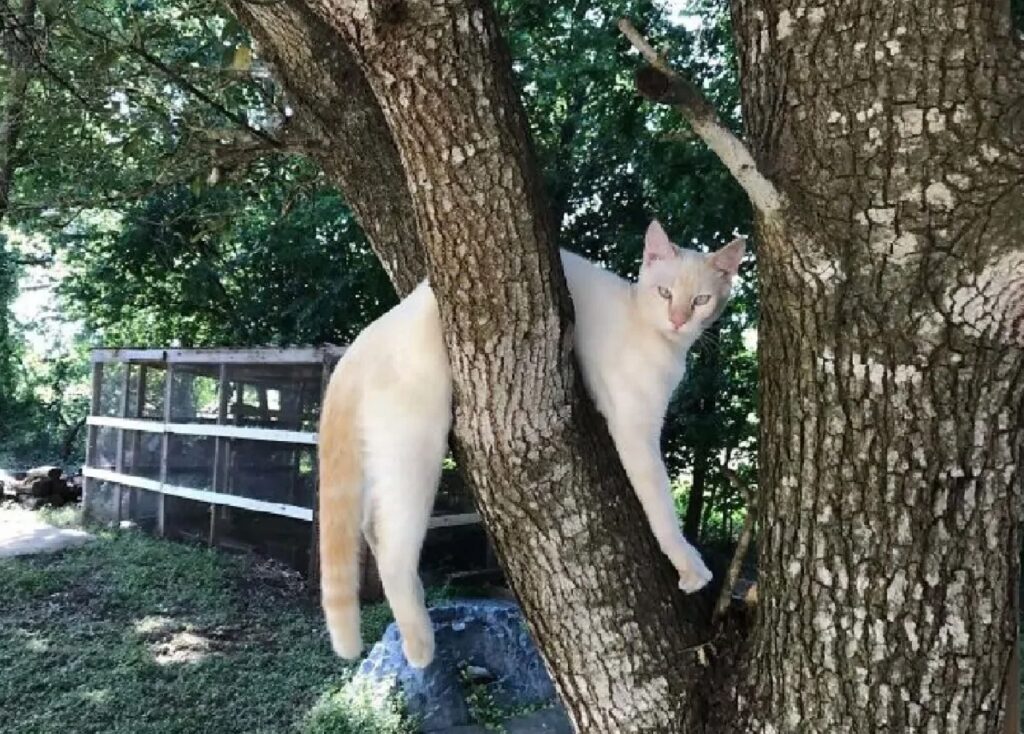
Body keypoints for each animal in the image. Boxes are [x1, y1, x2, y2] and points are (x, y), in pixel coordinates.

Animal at [319, 218, 745, 663]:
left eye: (700, 300)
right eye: (664, 293)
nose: (678, 319)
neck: (655, 335)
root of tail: (369, 336)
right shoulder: (634, 429)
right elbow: (661, 506)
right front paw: (689, 565)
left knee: (371, 525)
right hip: (418, 446)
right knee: (392, 552)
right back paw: (421, 645)